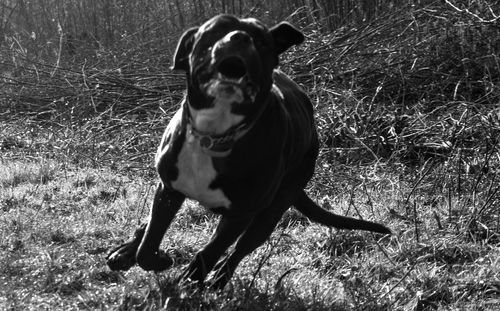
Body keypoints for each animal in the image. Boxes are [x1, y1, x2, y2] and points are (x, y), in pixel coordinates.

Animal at [108, 14, 390, 292]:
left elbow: (211, 251)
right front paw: (155, 258)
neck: (215, 134)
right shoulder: (169, 190)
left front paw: (190, 278)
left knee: (239, 251)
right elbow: (149, 242)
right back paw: (125, 253)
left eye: (261, 40)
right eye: (216, 29)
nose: (240, 37)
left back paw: (217, 280)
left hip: (271, 212)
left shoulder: (240, 215)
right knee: (147, 227)